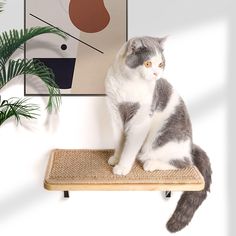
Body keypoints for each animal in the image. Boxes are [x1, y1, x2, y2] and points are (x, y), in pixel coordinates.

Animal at [105, 36, 212, 231]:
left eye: (161, 64)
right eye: (148, 63)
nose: (156, 73)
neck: (128, 84)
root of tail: (190, 145)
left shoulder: (140, 120)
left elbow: (130, 147)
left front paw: (122, 167)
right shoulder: (114, 112)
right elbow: (119, 140)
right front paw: (116, 158)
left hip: (162, 140)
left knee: (184, 162)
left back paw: (151, 163)